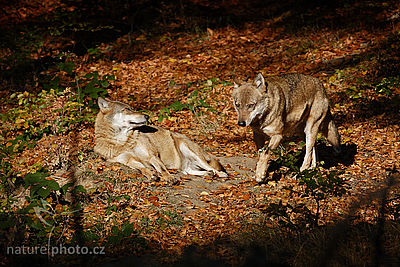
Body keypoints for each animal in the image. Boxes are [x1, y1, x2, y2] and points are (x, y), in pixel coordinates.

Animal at [92, 97, 227, 183]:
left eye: (132, 108)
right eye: (127, 109)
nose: (147, 116)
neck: (122, 141)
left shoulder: (152, 156)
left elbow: (161, 169)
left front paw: (169, 178)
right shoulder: (128, 161)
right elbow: (142, 168)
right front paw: (151, 174)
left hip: (188, 149)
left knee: (212, 167)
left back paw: (220, 174)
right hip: (185, 165)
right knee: (188, 171)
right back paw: (207, 174)